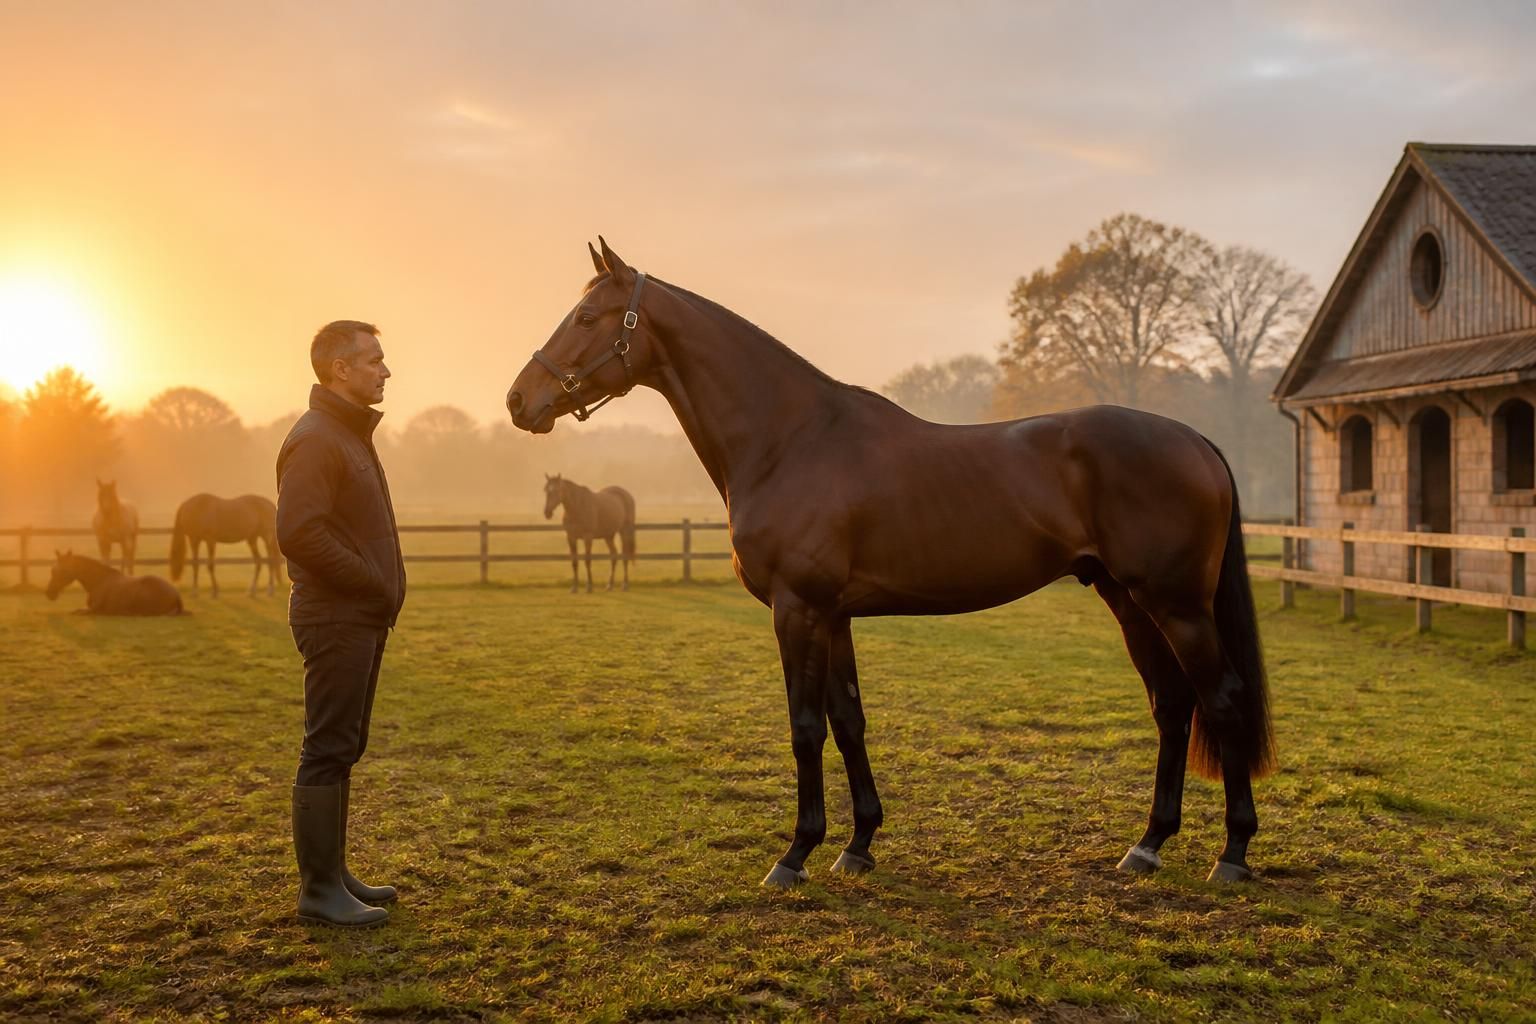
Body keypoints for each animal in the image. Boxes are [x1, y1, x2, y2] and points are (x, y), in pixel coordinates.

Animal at [46, 550, 184, 615]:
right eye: (52, 570)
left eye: (63, 570)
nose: (50, 593)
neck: (99, 580)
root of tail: (176, 593)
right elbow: (75, 611)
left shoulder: (93, 611)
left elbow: (79, 612)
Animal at [506, 239, 1275, 889]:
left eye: (587, 316)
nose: (519, 401)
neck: (790, 439)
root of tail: (1195, 441)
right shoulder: (834, 615)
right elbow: (849, 721)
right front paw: (857, 845)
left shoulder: (798, 610)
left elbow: (805, 727)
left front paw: (795, 855)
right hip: (1127, 598)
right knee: (1172, 705)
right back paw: (1147, 845)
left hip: (1176, 605)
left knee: (1221, 698)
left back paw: (1232, 854)